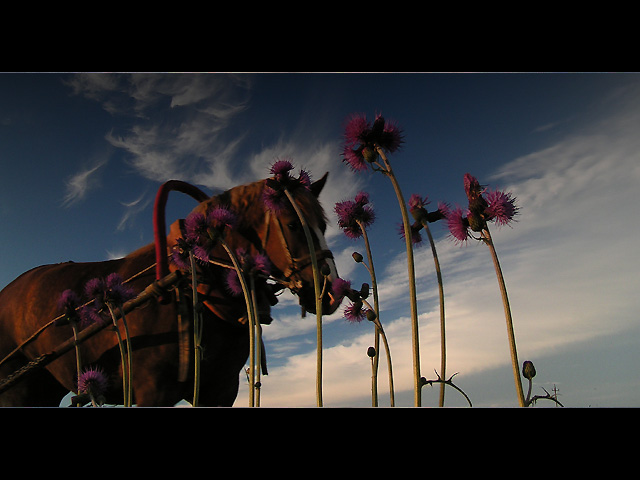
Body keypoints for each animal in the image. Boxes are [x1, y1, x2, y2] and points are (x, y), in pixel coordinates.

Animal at [0, 172, 340, 404]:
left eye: (324, 226)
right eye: (293, 225)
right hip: (17, 391)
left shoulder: (221, 390)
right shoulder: (153, 391)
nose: (332, 292)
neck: (196, 286)